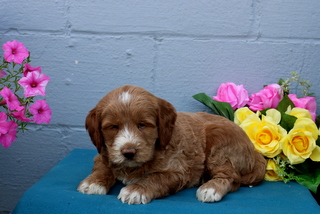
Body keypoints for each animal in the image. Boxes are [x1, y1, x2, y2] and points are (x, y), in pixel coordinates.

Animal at [77, 85, 264, 204]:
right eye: (113, 127)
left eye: (142, 125)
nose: (128, 152)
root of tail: (255, 152)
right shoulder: (104, 153)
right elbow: (102, 167)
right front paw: (93, 182)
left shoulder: (178, 170)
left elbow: (155, 177)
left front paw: (135, 189)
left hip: (220, 143)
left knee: (231, 177)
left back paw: (211, 189)